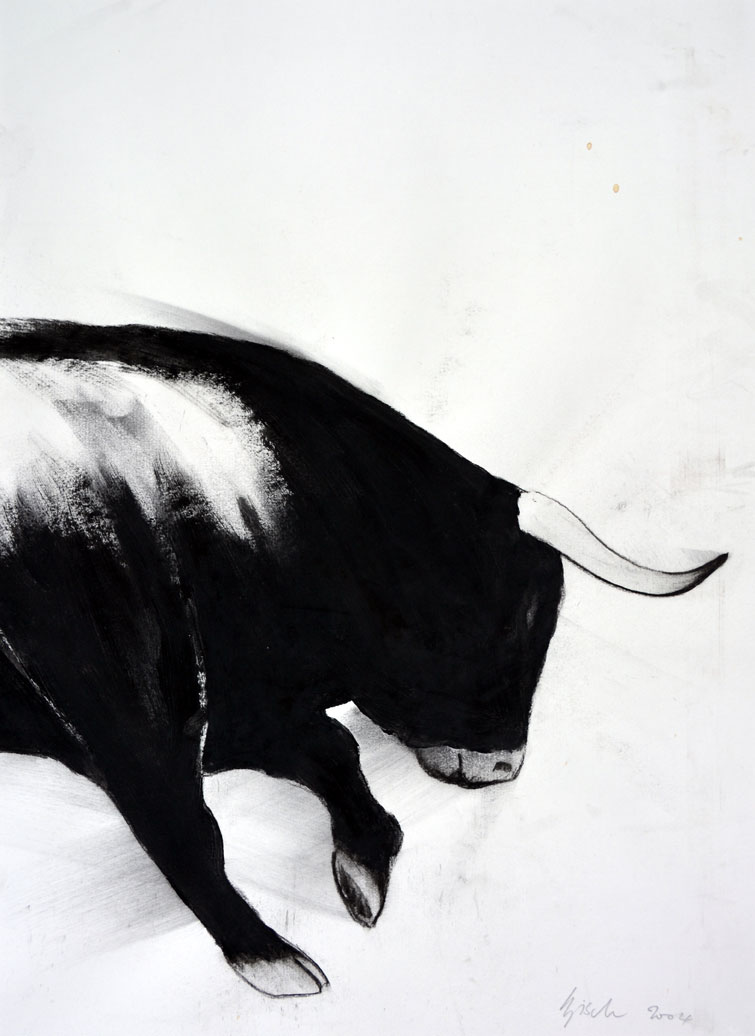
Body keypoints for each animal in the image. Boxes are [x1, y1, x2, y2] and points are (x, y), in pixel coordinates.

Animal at [0, 319, 726, 997]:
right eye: (514, 614)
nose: (499, 768)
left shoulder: (247, 703)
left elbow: (332, 751)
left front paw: (364, 873)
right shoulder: (130, 713)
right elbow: (188, 827)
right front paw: (269, 958)